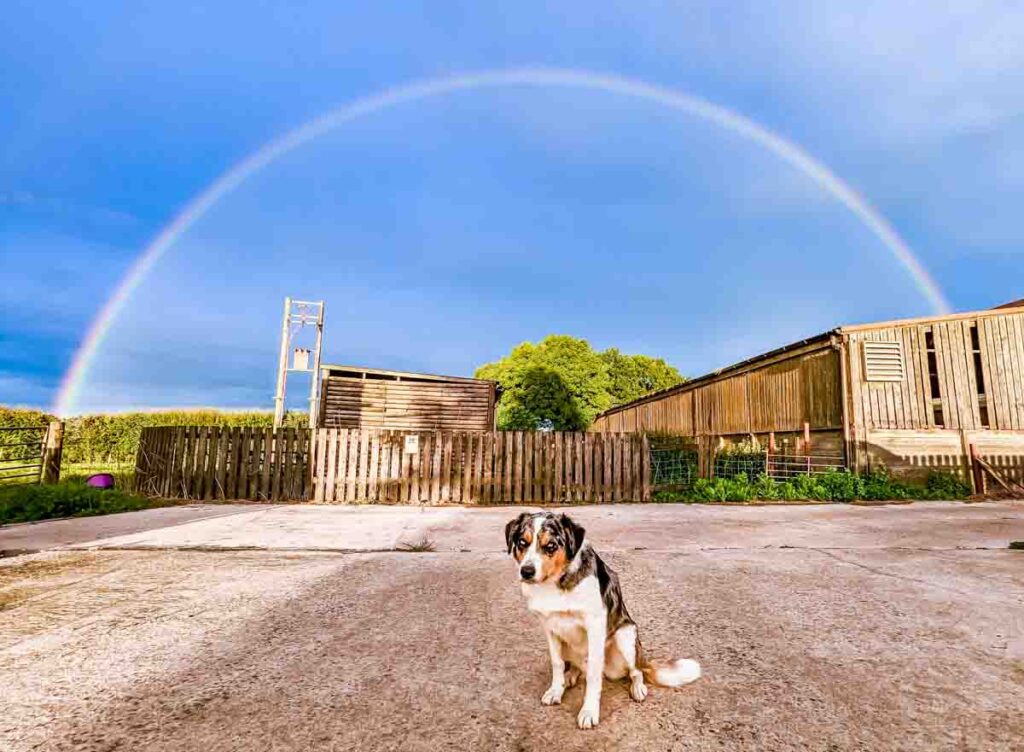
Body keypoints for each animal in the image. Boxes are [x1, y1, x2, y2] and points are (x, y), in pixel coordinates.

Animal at [505, 512, 700, 729]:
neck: (556, 583)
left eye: (551, 546)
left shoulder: (595, 626)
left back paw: (637, 688)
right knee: (577, 667)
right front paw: (556, 690)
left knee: (636, 671)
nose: (526, 571)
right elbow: (557, 663)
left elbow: (593, 674)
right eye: (522, 543)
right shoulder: (550, 628)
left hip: (626, 636)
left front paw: (589, 711)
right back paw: (570, 676)